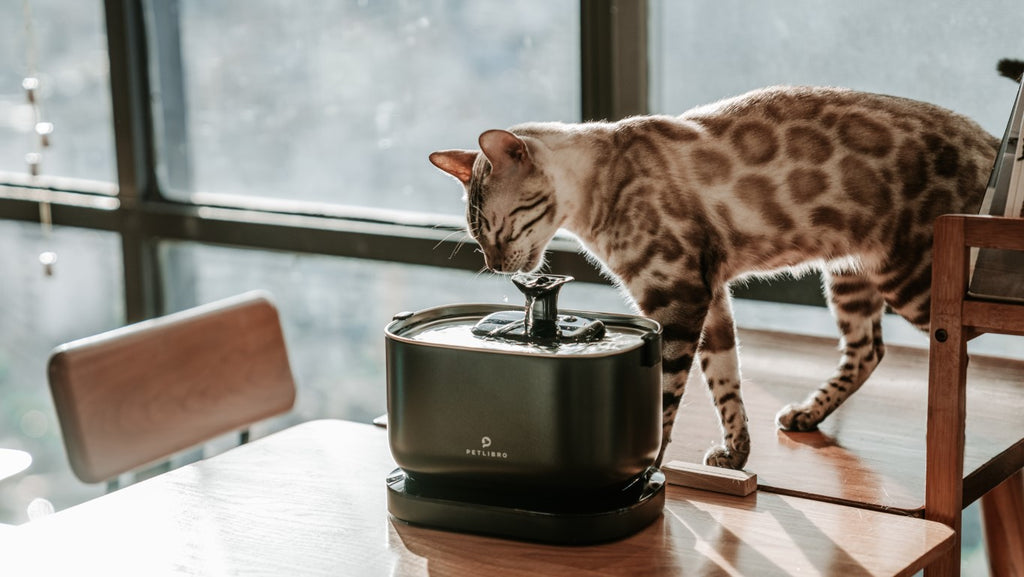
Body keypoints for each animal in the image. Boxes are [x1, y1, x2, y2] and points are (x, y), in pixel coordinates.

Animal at [428, 87, 995, 473]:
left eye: (497, 228)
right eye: (476, 238)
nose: (498, 268)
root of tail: (989, 140)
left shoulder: (677, 297)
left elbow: (664, 398)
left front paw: (650, 470)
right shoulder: (710, 294)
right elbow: (725, 381)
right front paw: (736, 454)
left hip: (914, 282)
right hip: (850, 275)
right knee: (868, 350)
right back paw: (805, 414)